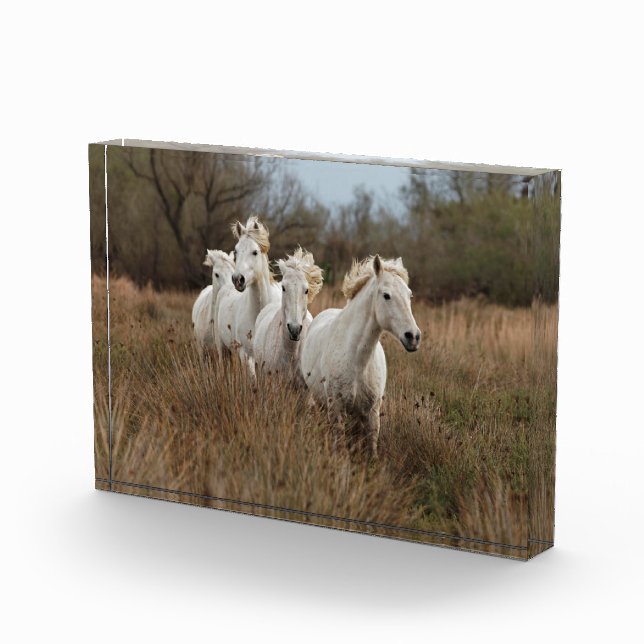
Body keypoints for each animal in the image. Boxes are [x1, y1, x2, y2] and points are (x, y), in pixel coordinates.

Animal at [300, 255, 421, 457]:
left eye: (409, 295)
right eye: (386, 295)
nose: (413, 337)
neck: (357, 361)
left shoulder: (371, 412)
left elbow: (371, 447)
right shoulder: (337, 409)